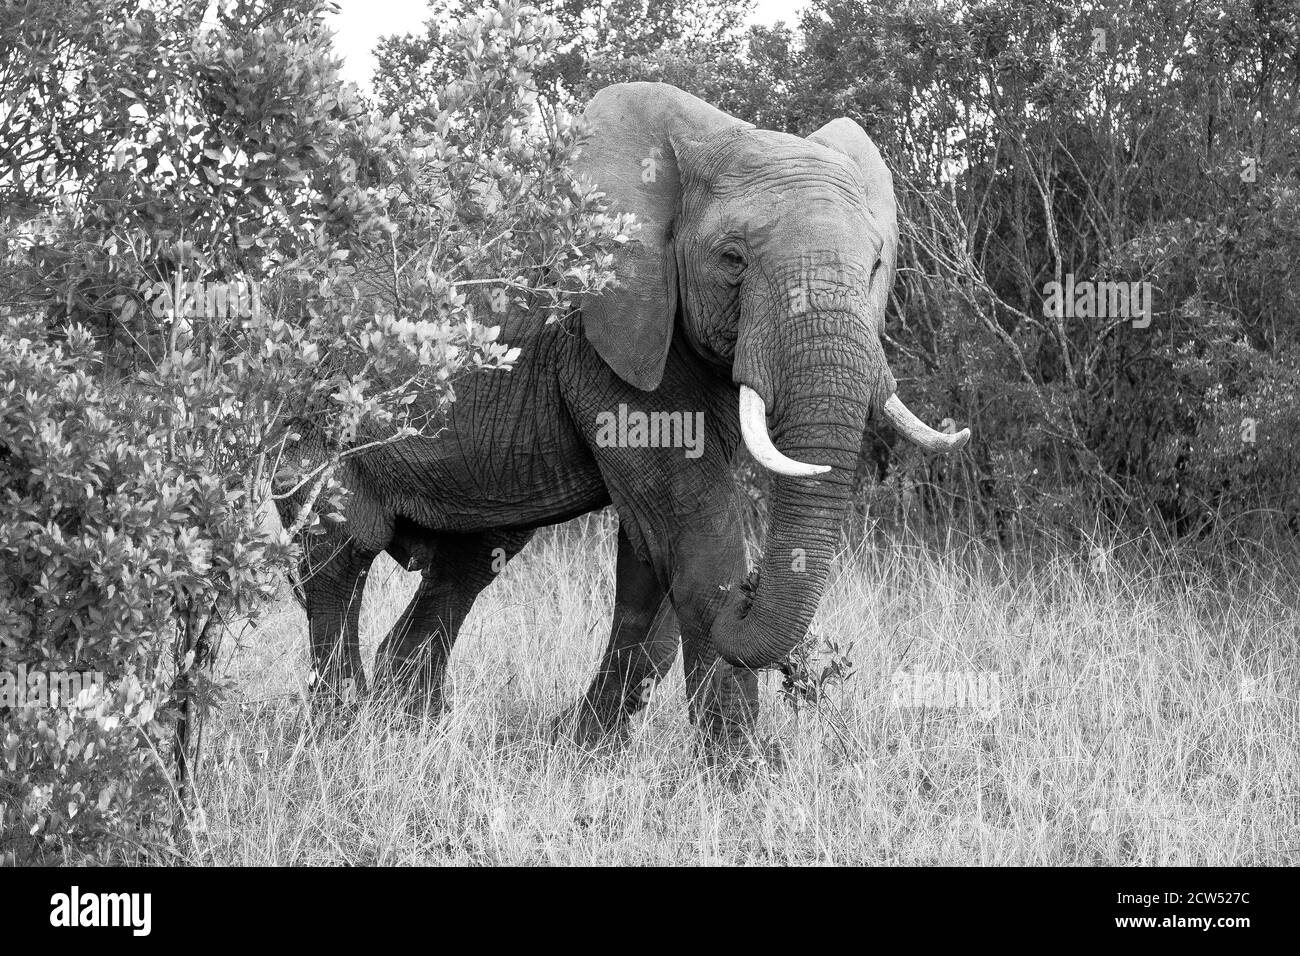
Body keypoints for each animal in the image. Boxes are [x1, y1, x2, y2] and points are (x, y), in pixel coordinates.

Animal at [279, 82, 972, 749]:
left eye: (877, 265)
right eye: (732, 260)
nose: (751, 594)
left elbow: (650, 564)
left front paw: (585, 749)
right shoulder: (605, 336)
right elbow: (689, 533)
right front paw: (743, 771)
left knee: (469, 562)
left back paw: (414, 725)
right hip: (315, 409)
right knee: (338, 554)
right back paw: (341, 726)